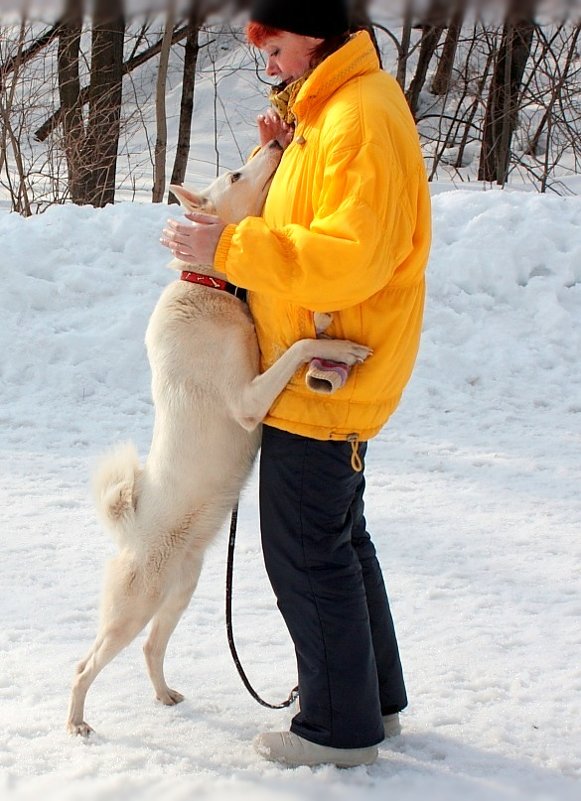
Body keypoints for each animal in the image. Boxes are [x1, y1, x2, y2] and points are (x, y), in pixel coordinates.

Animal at [65, 141, 370, 736]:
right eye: (234, 172)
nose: (274, 141)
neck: (205, 284)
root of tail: (130, 529)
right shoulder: (249, 400)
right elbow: (299, 347)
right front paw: (338, 349)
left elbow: (306, 332)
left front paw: (328, 321)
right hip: (133, 610)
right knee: (84, 666)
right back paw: (77, 724)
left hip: (181, 592)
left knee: (151, 650)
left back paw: (164, 695)